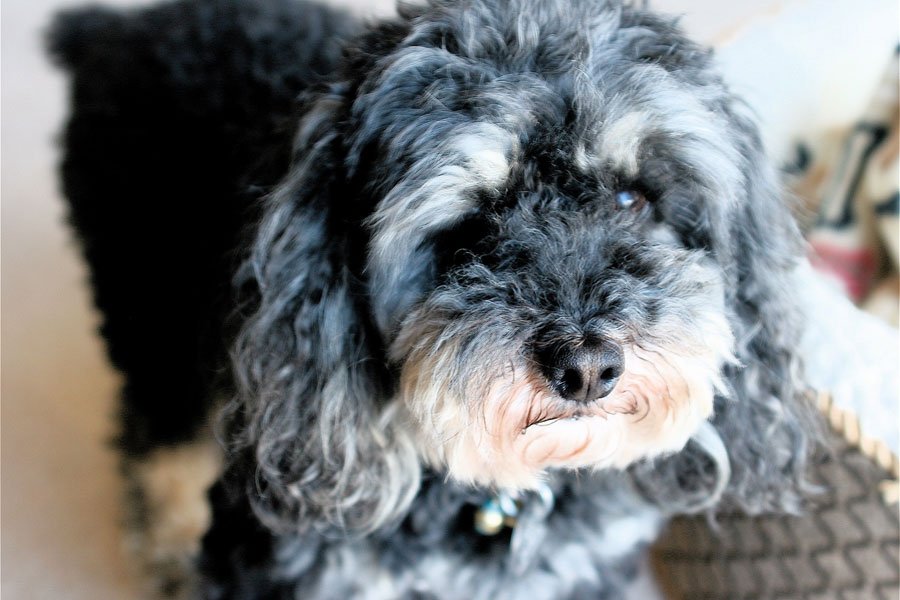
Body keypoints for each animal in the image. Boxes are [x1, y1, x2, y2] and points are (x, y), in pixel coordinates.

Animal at [51, 0, 816, 596]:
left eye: (634, 197)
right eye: (473, 219)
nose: (587, 369)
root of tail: (117, 29)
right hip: (153, 323)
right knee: (157, 442)